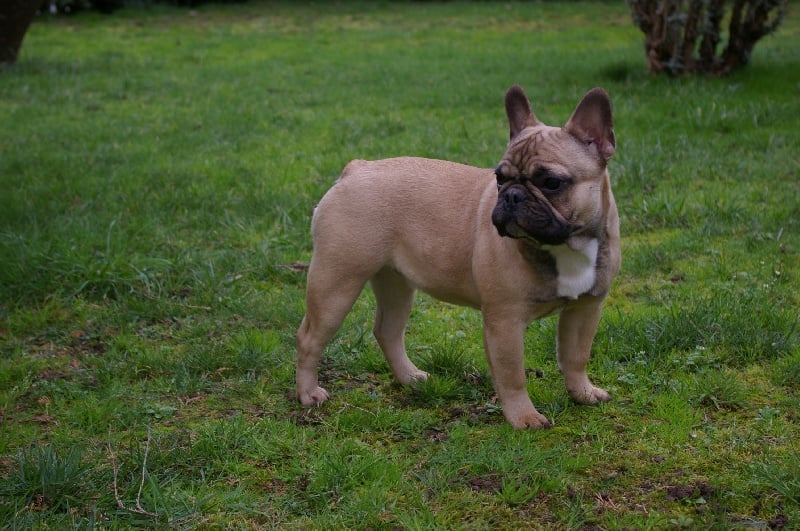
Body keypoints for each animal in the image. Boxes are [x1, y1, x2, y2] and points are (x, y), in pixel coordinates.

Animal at [294, 84, 620, 432]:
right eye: (499, 178)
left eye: (552, 182)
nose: (511, 195)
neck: (563, 246)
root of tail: (355, 169)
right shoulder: (505, 321)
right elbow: (513, 375)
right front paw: (524, 418)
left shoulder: (586, 308)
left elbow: (576, 357)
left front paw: (583, 393)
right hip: (336, 282)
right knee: (309, 338)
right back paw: (308, 393)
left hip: (394, 282)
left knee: (388, 330)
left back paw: (410, 377)